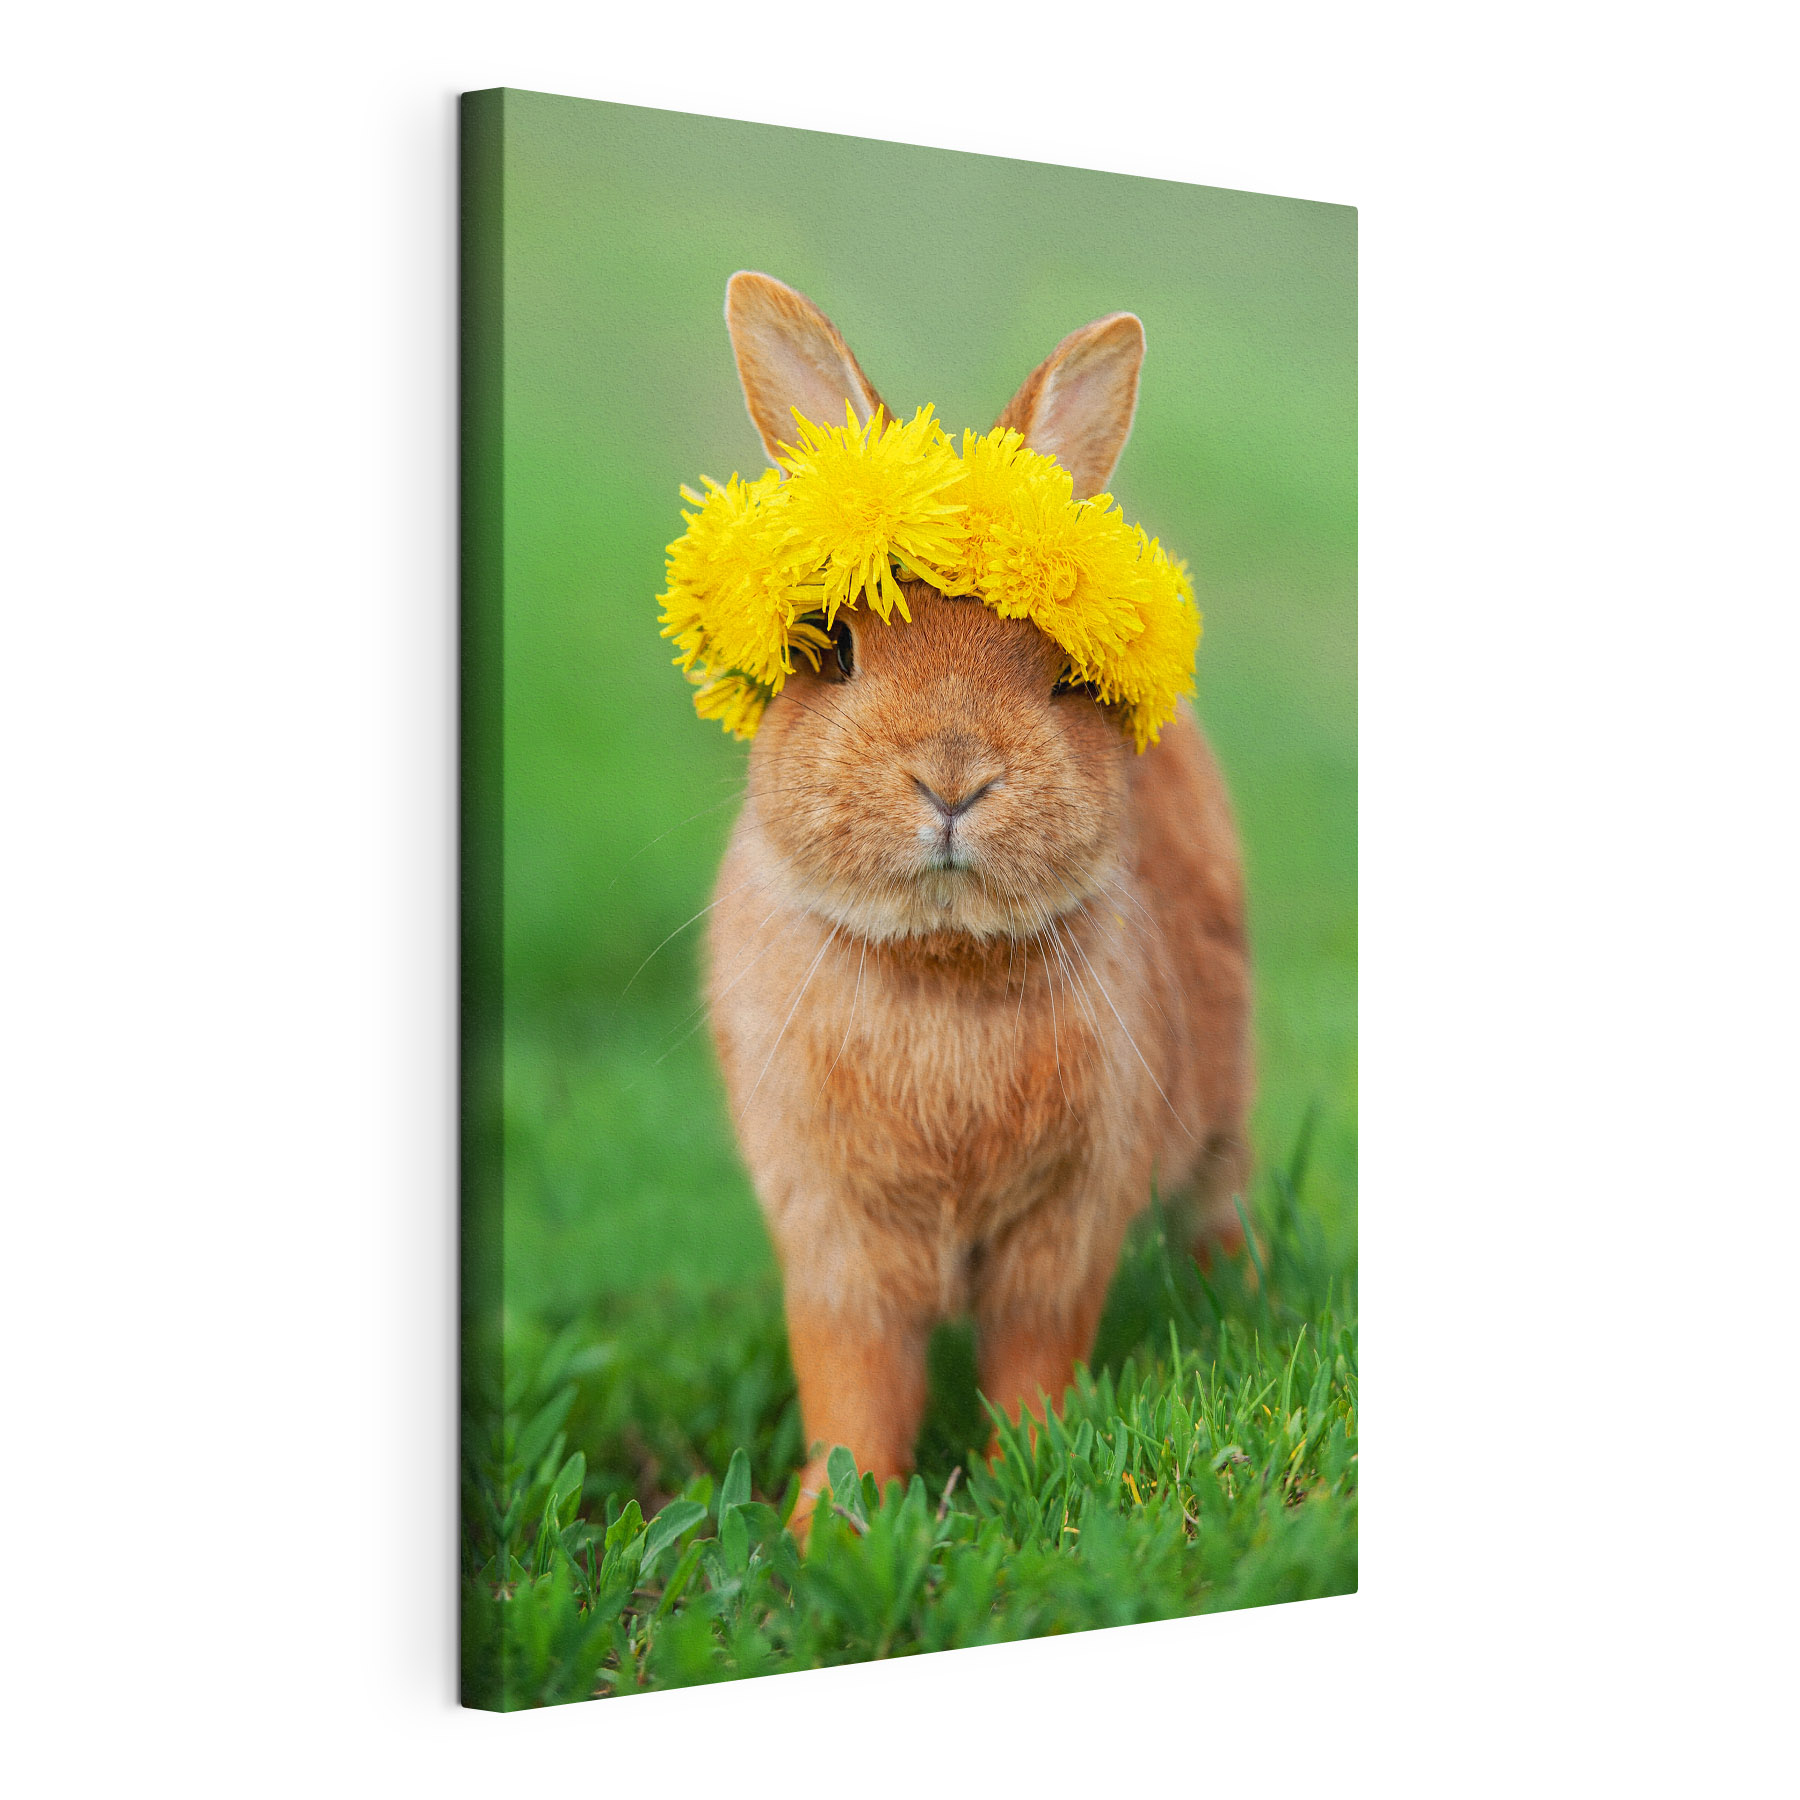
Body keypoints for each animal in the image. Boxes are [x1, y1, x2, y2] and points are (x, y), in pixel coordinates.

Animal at [704, 272, 1252, 1527]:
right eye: (833, 647)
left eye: (1062, 675)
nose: (952, 781)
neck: (940, 962)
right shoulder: (833, 1238)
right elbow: (853, 1386)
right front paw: (829, 1528)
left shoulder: (1066, 1229)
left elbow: (1034, 1365)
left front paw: (1031, 1485)